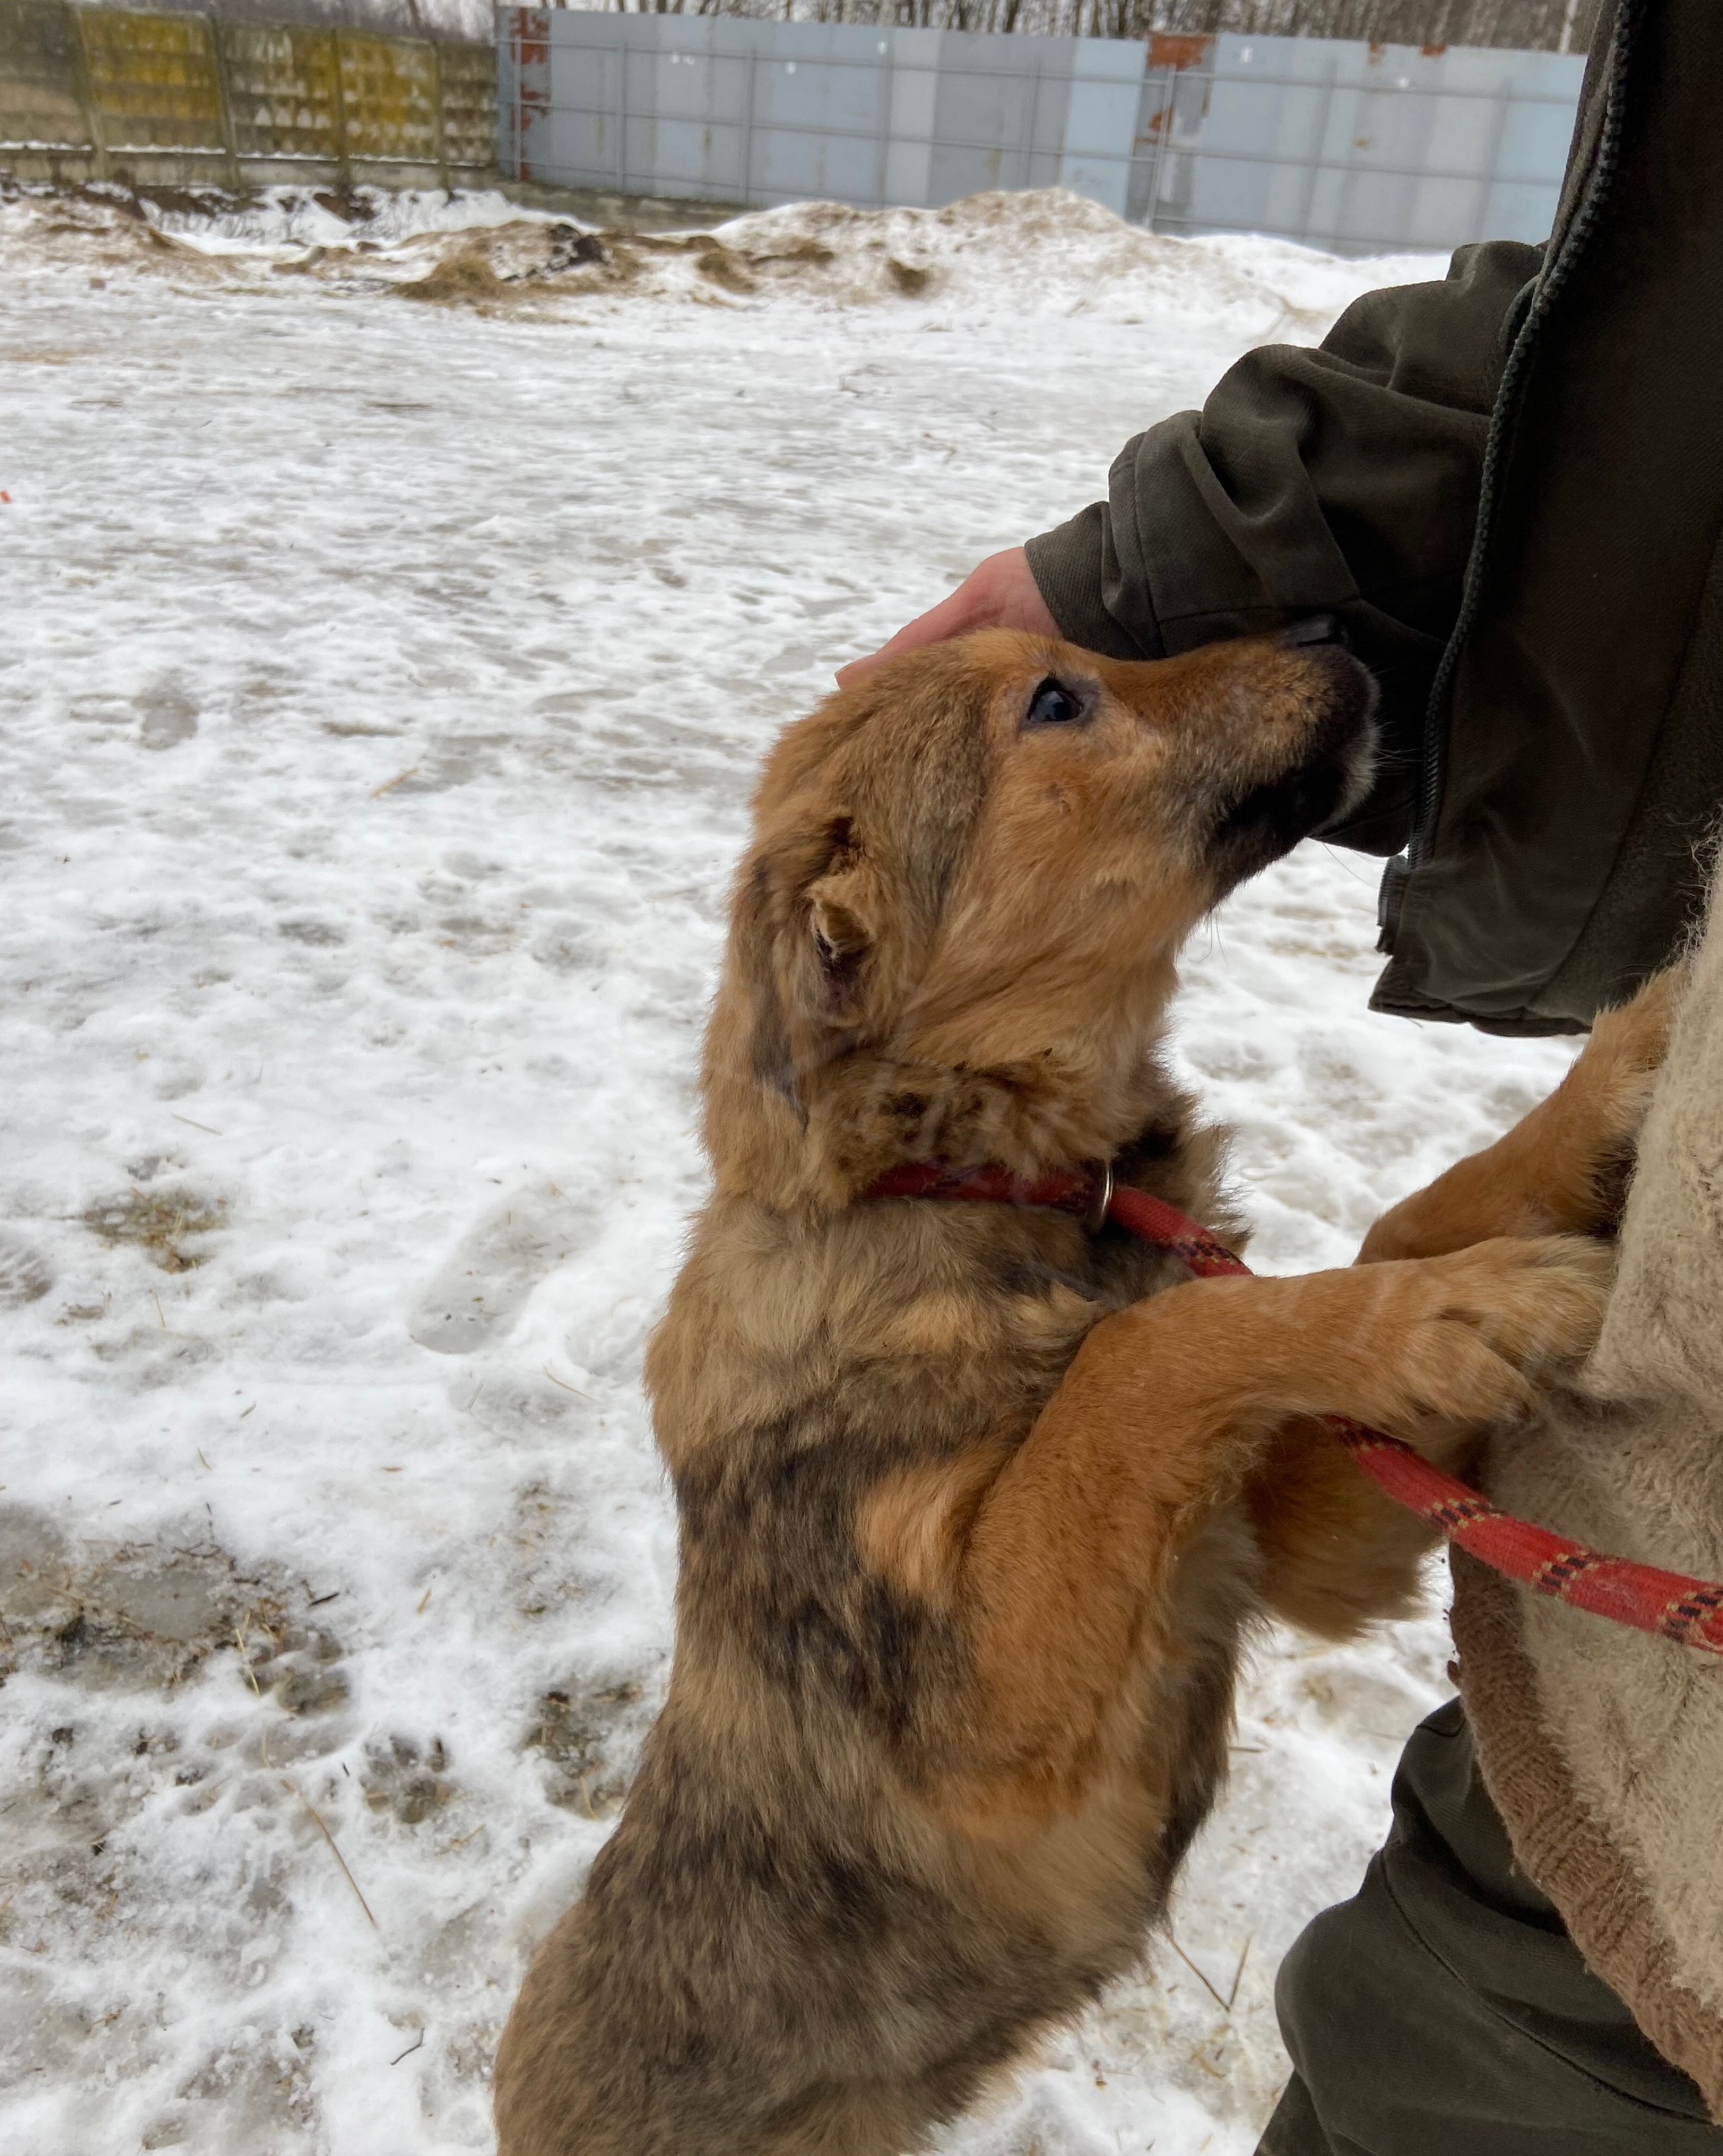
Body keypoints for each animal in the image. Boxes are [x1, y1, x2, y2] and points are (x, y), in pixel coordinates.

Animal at [489, 629, 1673, 2156]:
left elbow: (1402, 1222)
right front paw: (1468, 1300)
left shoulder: (1282, 1554)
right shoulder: (984, 1724)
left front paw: (1631, 1062)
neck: (977, 1185)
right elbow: (1146, 1351)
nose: (1336, 637)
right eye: (1058, 701)